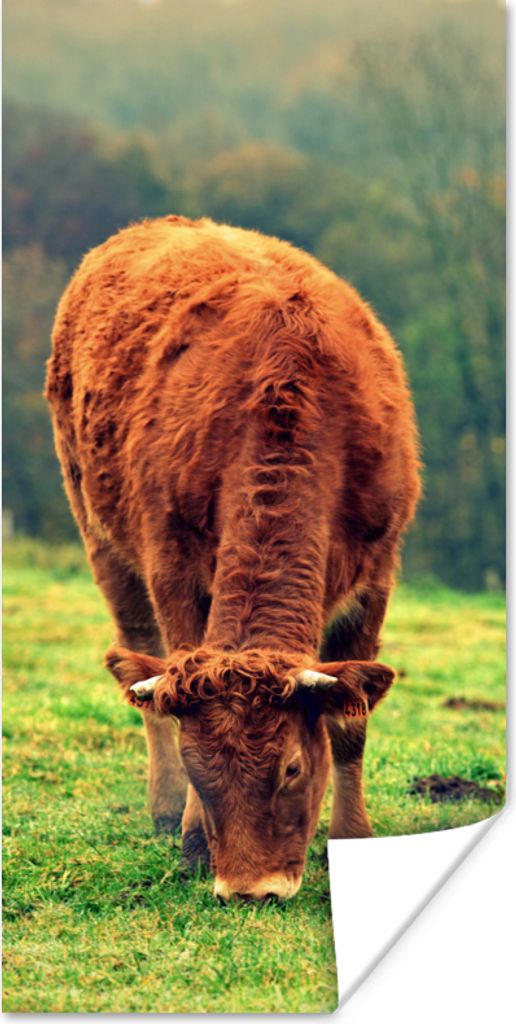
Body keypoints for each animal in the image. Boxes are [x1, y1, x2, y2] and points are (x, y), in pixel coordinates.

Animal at [46, 215, 420, 902]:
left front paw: (351, 839)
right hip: (98, 529)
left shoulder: (376, 575)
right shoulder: (172, 567)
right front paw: (195, 839)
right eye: (201, 768)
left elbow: (350, 726)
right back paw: (165, 810)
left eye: (293, 767)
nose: (250, 890)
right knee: (136, 647)